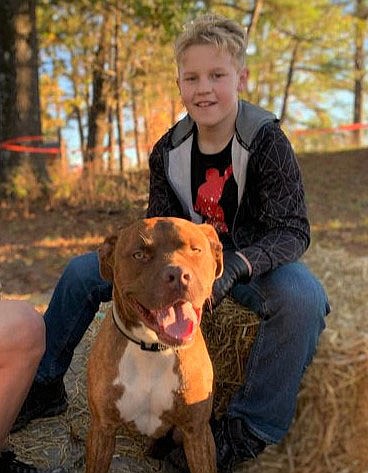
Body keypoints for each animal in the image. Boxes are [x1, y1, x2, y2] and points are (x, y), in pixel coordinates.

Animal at [86, 217, 224, 472]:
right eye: (139, 255)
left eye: (195, 249)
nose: (178, 275)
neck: (152, 348)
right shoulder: (102, 428)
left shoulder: (197, 432)